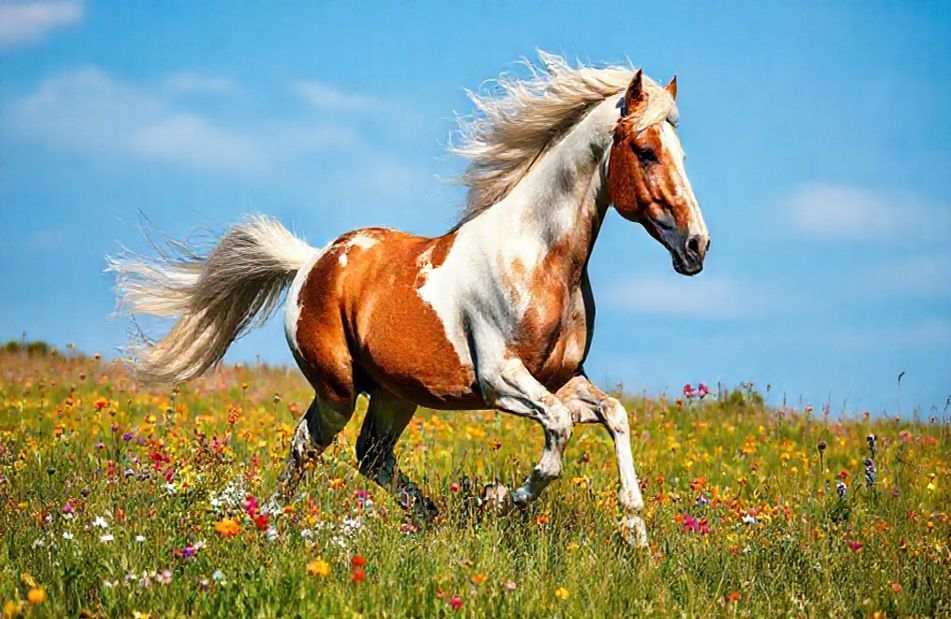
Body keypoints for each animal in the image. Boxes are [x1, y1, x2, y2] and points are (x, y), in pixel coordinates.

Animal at [109, 53, 709, 547]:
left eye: (681, 152)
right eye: (646, 151)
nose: (696, 247)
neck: (540, 259)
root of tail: (310, 262)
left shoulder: (564, 378)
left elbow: (615, 414)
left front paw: (636, 534)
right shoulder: (499, 379)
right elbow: (558, 430)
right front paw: (498, 499)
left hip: (396, 395)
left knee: (371, 455)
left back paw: (427, 517)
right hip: (338, 390)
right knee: (308, 444)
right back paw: (274, 523)